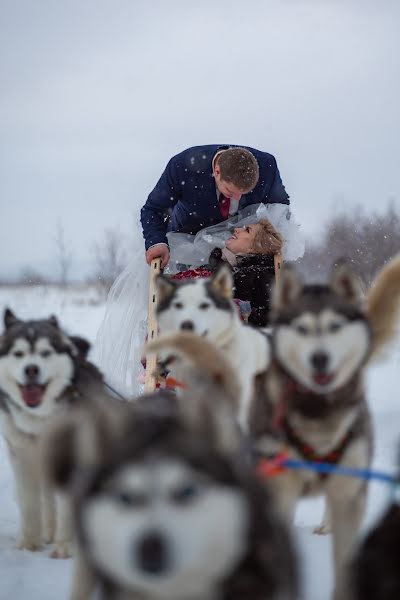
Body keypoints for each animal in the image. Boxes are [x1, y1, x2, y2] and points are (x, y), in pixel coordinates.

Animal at [0, 310, 104, 556]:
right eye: (18, 353)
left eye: (46, 353)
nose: (31, 369)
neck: (40, 419)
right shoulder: (21, 455)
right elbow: (29, 502)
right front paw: (30, 542)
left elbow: (67, 505)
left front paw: (65, 544)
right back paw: (46, 531)